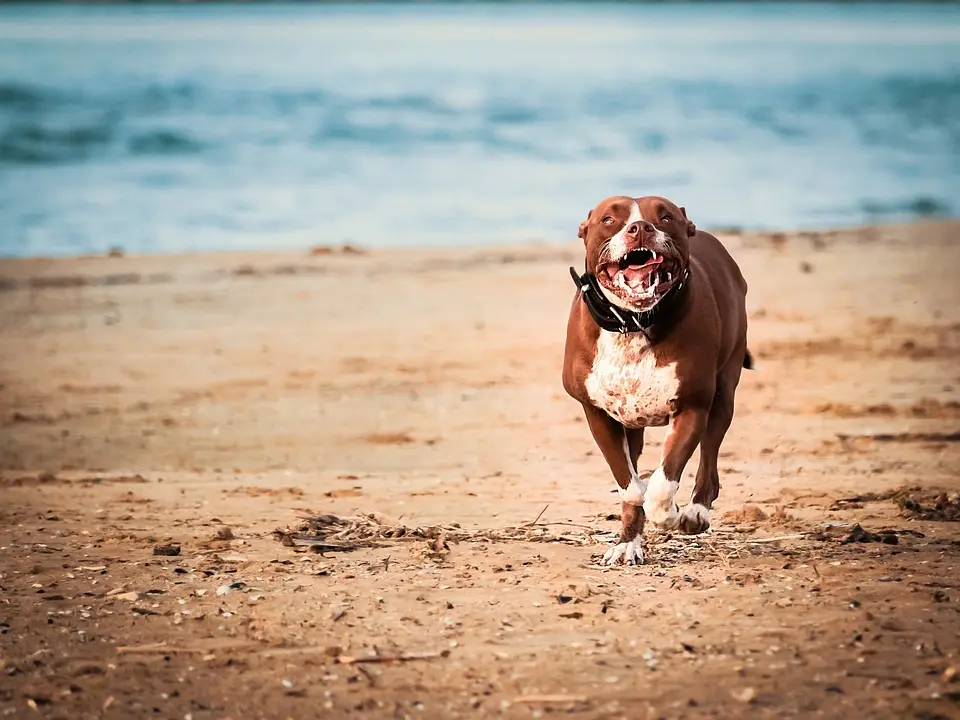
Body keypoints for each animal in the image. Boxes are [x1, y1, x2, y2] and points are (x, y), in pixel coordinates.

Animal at [560, 195, 752, 564]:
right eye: (609, 219)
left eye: (665, 217)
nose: (640, 228)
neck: (633, 323)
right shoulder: (599, 415)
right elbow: (629, 484)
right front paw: (630, 531)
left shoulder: (692, 407)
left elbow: (663, 484)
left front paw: (669, 512)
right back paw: (629, 542)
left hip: (723, 394)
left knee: (709, 458)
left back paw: (695, 512)